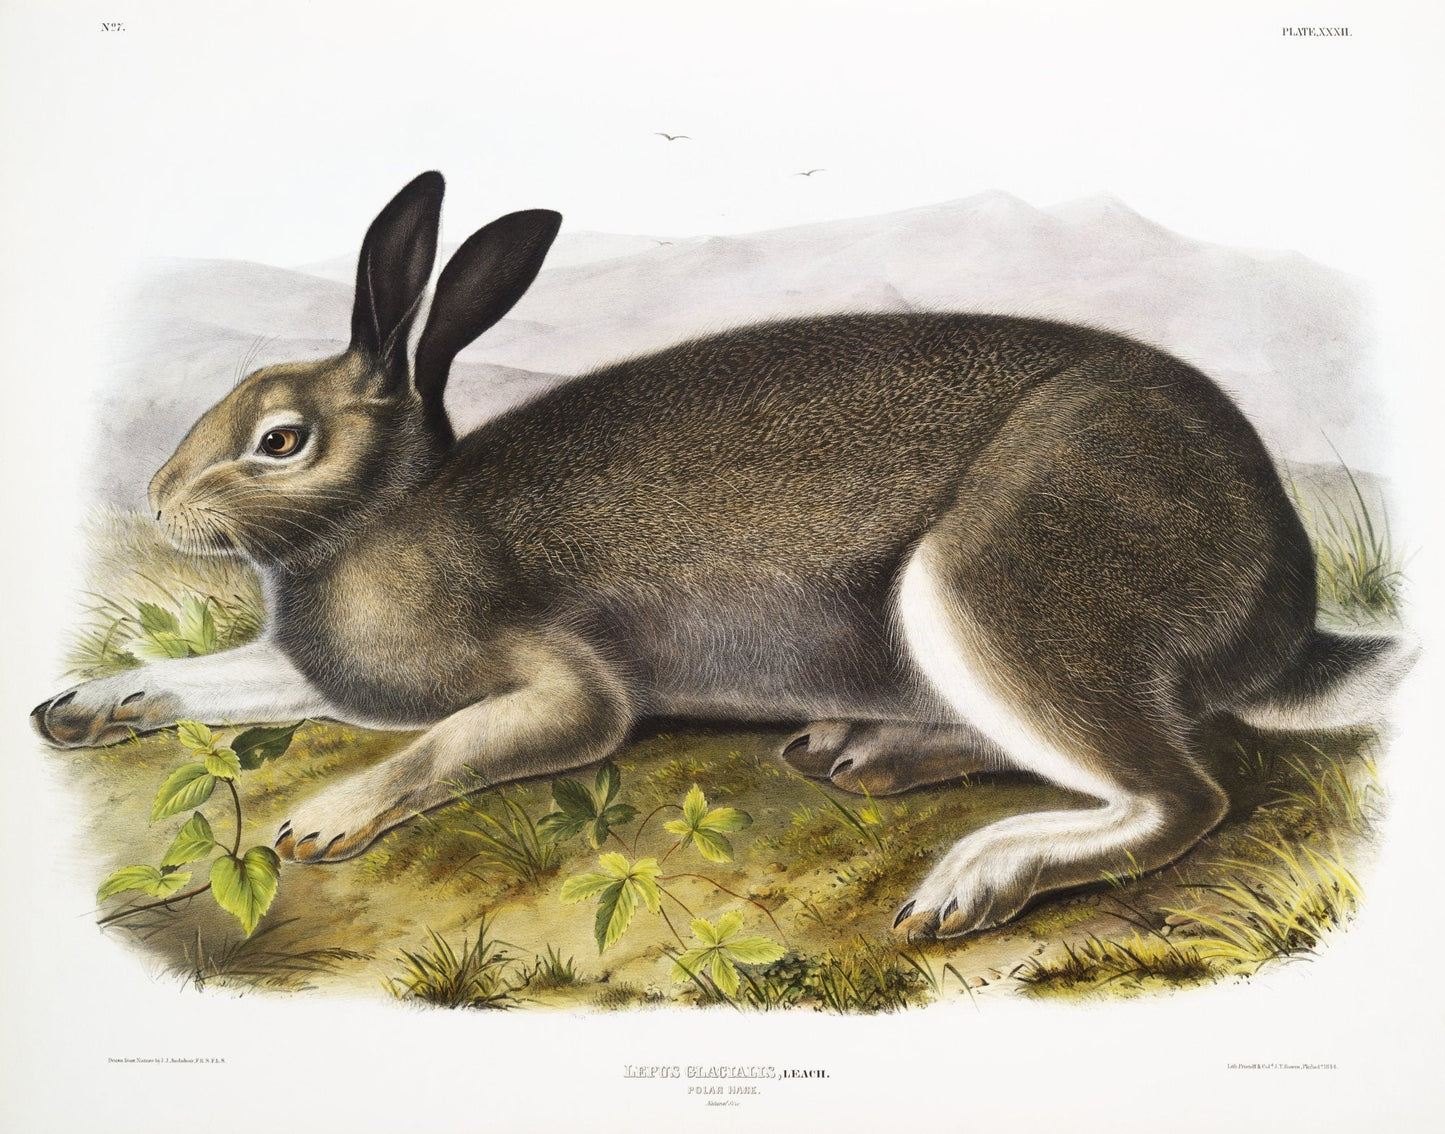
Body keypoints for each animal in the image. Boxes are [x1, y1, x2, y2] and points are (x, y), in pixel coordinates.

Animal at [32, 171, 1415, 939]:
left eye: (278, 439)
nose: (157, 501)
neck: (390, 512)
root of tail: (1282, 611)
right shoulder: (306, 672)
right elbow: (217, 680)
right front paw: (79, 708)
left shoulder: (563, 689)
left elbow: (461, 742)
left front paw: (324, 822)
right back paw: (859, 752)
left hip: (991, 586)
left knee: (1178, 795)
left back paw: (969, 876)